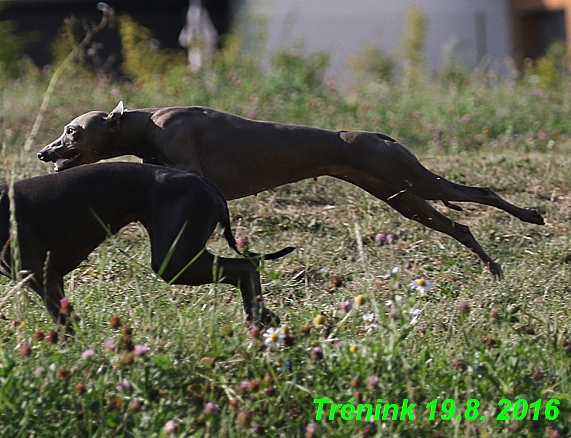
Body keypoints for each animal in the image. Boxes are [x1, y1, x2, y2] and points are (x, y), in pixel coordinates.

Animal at [38, 102, 548, 278]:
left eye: (72, 130)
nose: (45, 153)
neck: (147, 123)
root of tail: (380, 135)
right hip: (403, 197)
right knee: (459, 226)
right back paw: (493, 266)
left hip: (412, 179)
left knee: (482, 192)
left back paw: (530, 217)